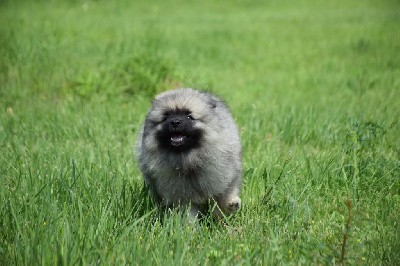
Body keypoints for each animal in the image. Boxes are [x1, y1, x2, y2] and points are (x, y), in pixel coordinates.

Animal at [136, 88, 242, 219]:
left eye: (189, 116)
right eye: (166, 116)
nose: (175, 122)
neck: (188, 160)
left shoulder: (224, 180)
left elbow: (223, 200)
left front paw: (230, 206)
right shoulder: (182, 196)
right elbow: (188, 213)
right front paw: (190, 224)